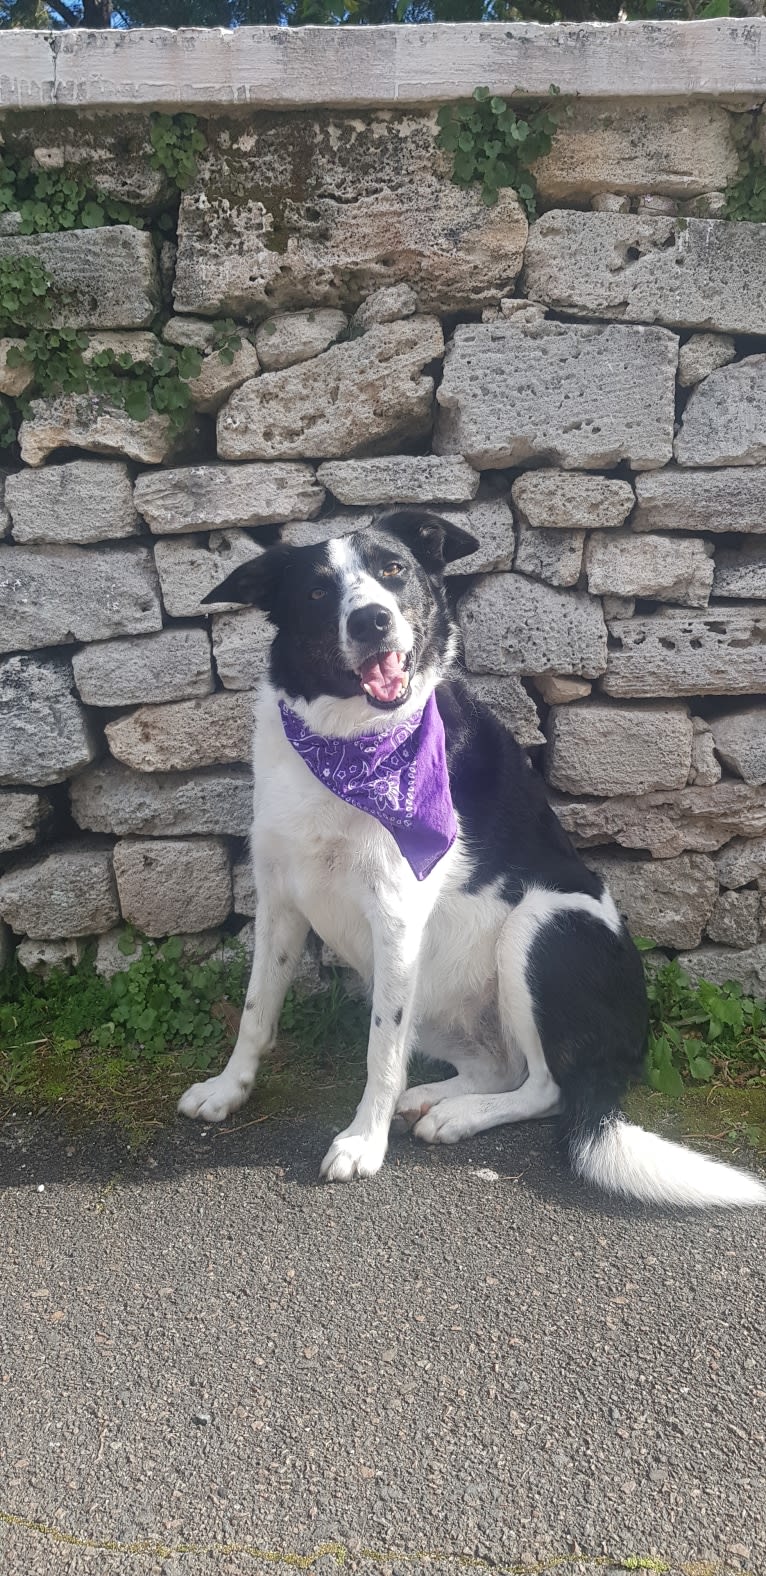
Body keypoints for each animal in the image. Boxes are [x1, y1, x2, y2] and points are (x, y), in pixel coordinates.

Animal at [178, 504, 766, 1204]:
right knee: (497, 1065)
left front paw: (362, 1142)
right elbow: (255, 1011)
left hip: (541, 925)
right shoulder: (280, 902)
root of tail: (627, 1046)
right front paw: (228, 1090)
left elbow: (380, 1051)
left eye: (393, 570)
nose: (372, 619)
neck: (348, 740)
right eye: (318, 592)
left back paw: (455, 1116)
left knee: (544, 1087)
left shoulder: (398, 915)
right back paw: (433, 1098)